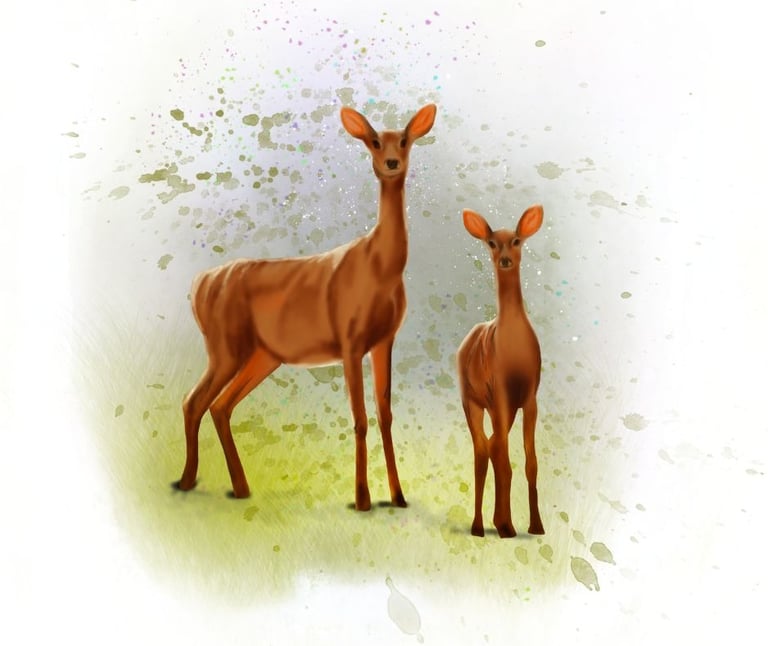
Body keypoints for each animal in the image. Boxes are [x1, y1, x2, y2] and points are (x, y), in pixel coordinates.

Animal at [175, 103, 437, 512]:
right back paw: (187, 481)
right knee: (193, 401)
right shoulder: (349, 340)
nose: (392, 162)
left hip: (263, 356)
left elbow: (386, 415)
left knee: (220, 406)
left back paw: (240, 487)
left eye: (406, 139)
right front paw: (362, 499)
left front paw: (398, 497)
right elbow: (360, 418)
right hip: (224, 345)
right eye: (374, 141)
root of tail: (198, 286)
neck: (380, 269)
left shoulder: (384, 340)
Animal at [456, 205, 545, 538]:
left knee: (492, 447)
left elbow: (531, 463)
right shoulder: (501, 394)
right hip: (472, 400)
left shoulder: (530, 398)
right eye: (491, 242)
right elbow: (504, 460)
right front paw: (507, 527)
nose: (505, 259)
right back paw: (481, 526)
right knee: (482, 451)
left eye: (517, 240)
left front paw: (536, 525)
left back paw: (496, 521)